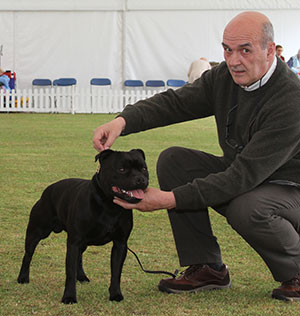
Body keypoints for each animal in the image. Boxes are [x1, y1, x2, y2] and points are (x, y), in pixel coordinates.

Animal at [17, 149, 148, 304]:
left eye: (144, 169)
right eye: (122, 169)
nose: (141, 179)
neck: (109, 205)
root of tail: (48, 190)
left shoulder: (120, 244)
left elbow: (116, 272)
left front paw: (115, 294)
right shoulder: (74, 242)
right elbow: (70, 272)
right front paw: (69, 297)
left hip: (82, 243)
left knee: (79, 257)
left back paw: (82, 277)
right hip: (36, 232)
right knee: (28, 255)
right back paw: (23, 278)